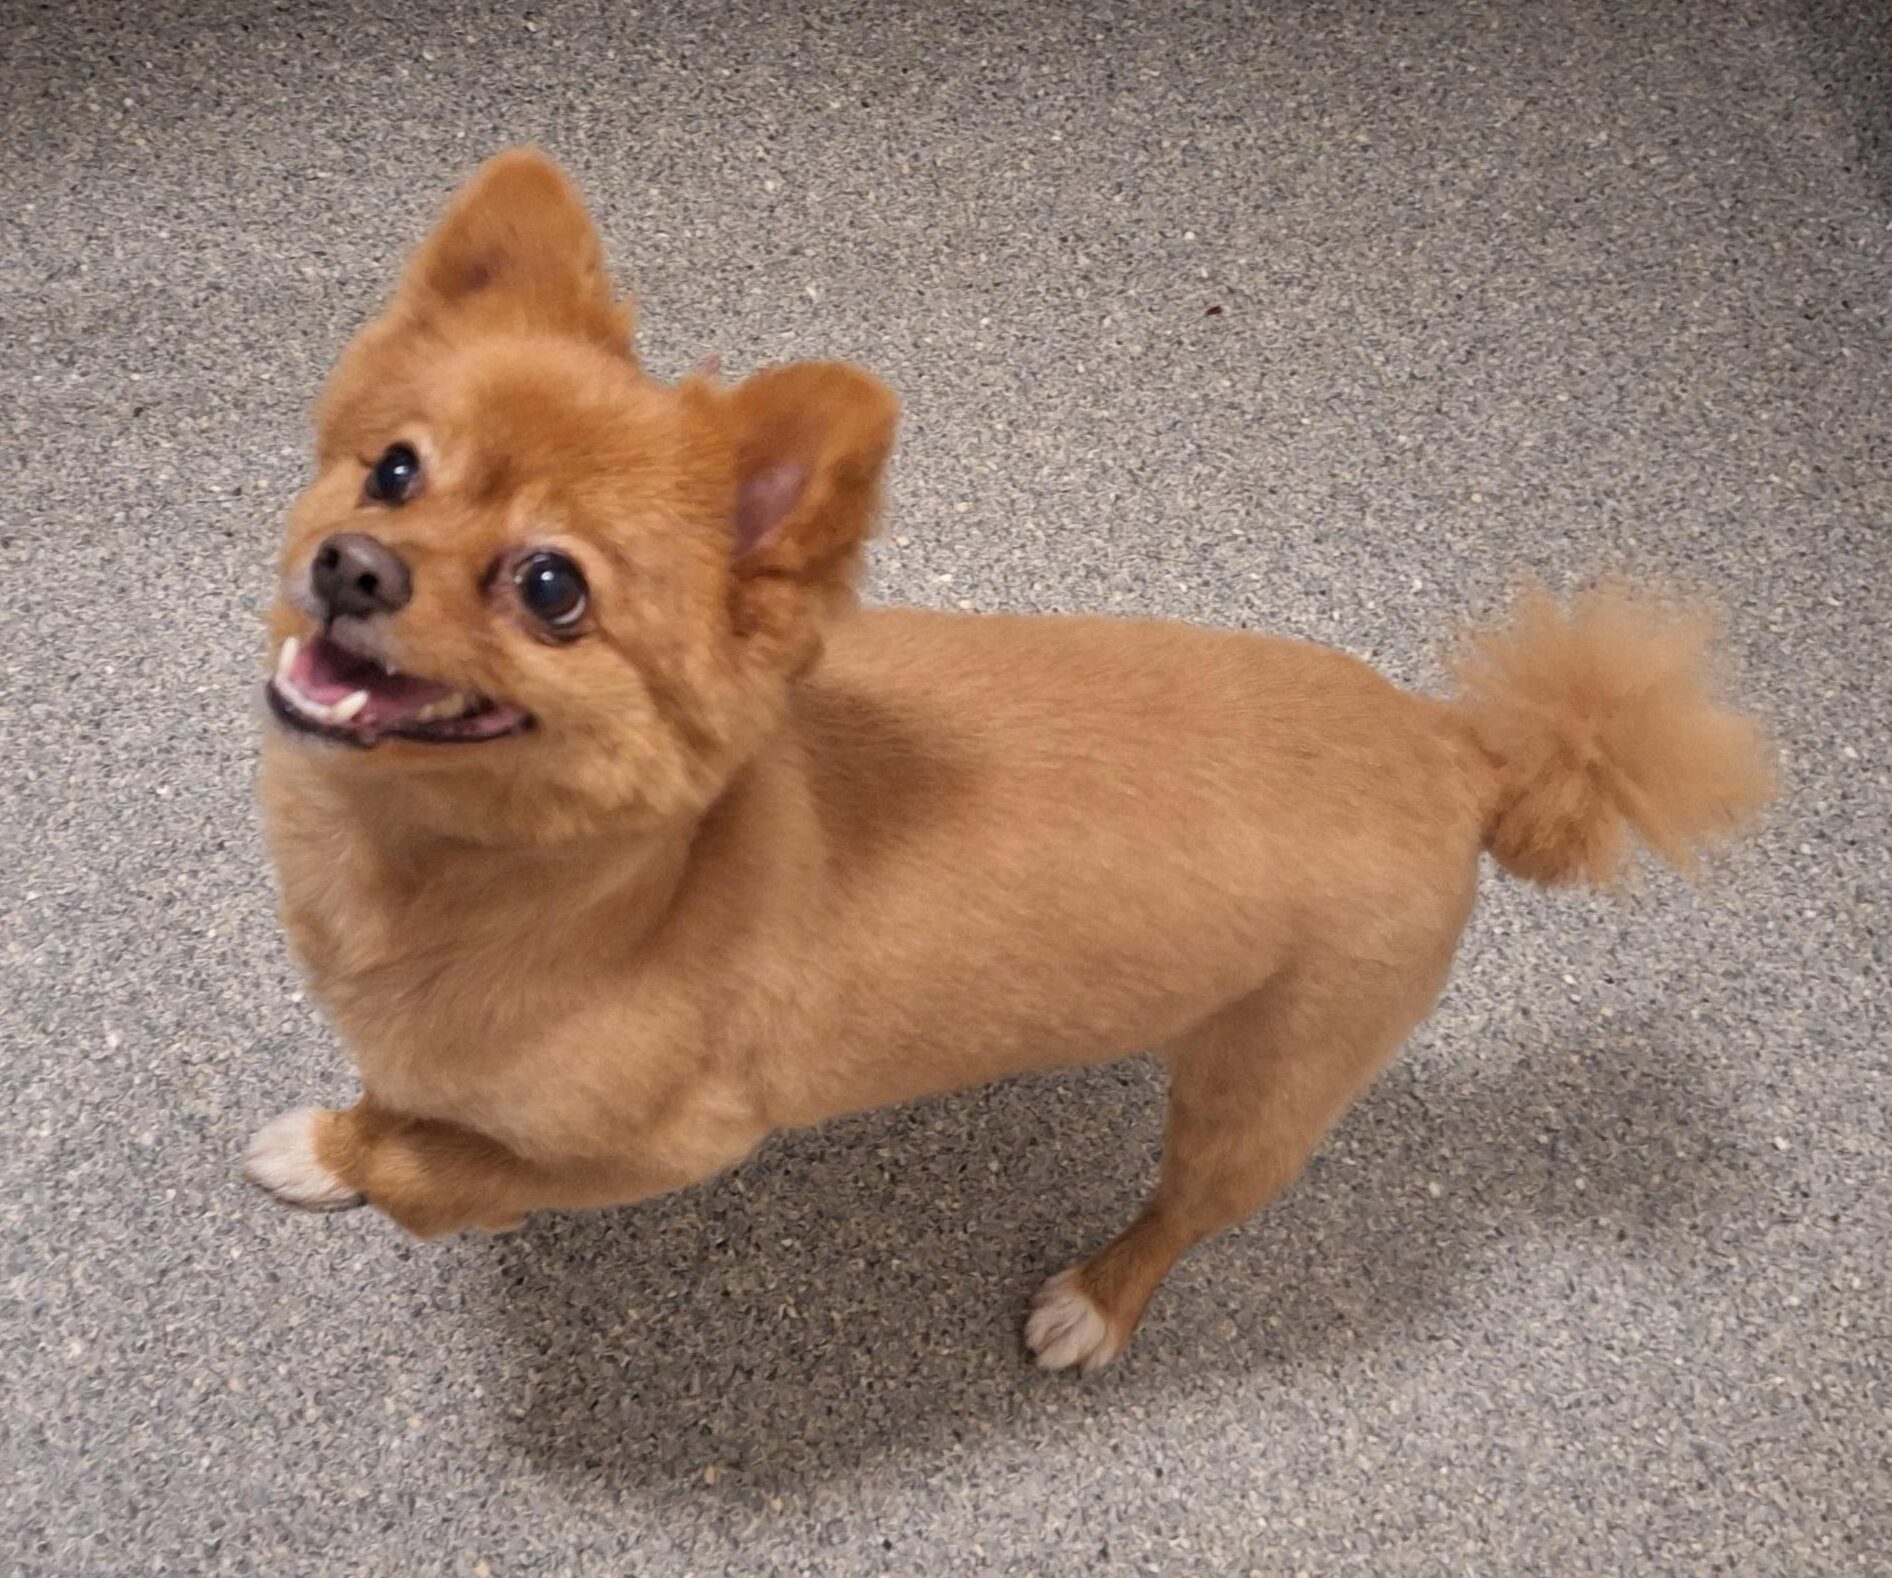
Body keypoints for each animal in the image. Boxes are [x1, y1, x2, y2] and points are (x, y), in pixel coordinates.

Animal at [245, 149, 1777, 1373]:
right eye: (393, 470)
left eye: (552, 588)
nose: (354, 565)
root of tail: (1458, 748)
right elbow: (394, 1101)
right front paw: (330, 1145)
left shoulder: (664, 1145)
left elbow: (441, 1162)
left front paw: (390, 1172)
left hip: (1261, 1099)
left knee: (1184, 1216)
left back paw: (1099, 1302)